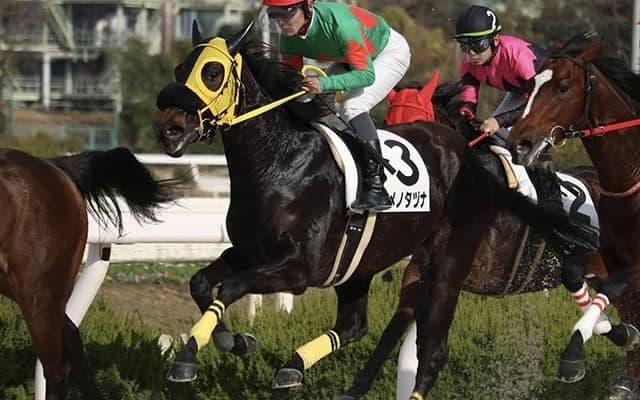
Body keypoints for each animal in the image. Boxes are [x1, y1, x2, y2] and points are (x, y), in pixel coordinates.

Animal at [152, 22, 598, 394]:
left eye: (212, 72)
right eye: (178, 69)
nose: (168, 129)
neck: (281, 163)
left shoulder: (297, 269)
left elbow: (230, 287)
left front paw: (189, 358)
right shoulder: (249, 251)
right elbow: (201, 283)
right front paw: (235, 341)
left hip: (446, 266)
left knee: (426, 346)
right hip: (367, 265)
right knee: (355, 327)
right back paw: (298, 369)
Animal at [338, 81, 634, 400]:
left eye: (417, 133)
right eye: (388, 125)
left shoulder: (462, 269)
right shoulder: (420, 270)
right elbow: (393, 330)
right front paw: (354, 388)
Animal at [505, 31, 640, 400]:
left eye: (563, 87)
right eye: (530, 86)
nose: (519, 143)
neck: (631, 178)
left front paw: (572, 356)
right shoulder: (608, 256)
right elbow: (574, 277)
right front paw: (622, 338)